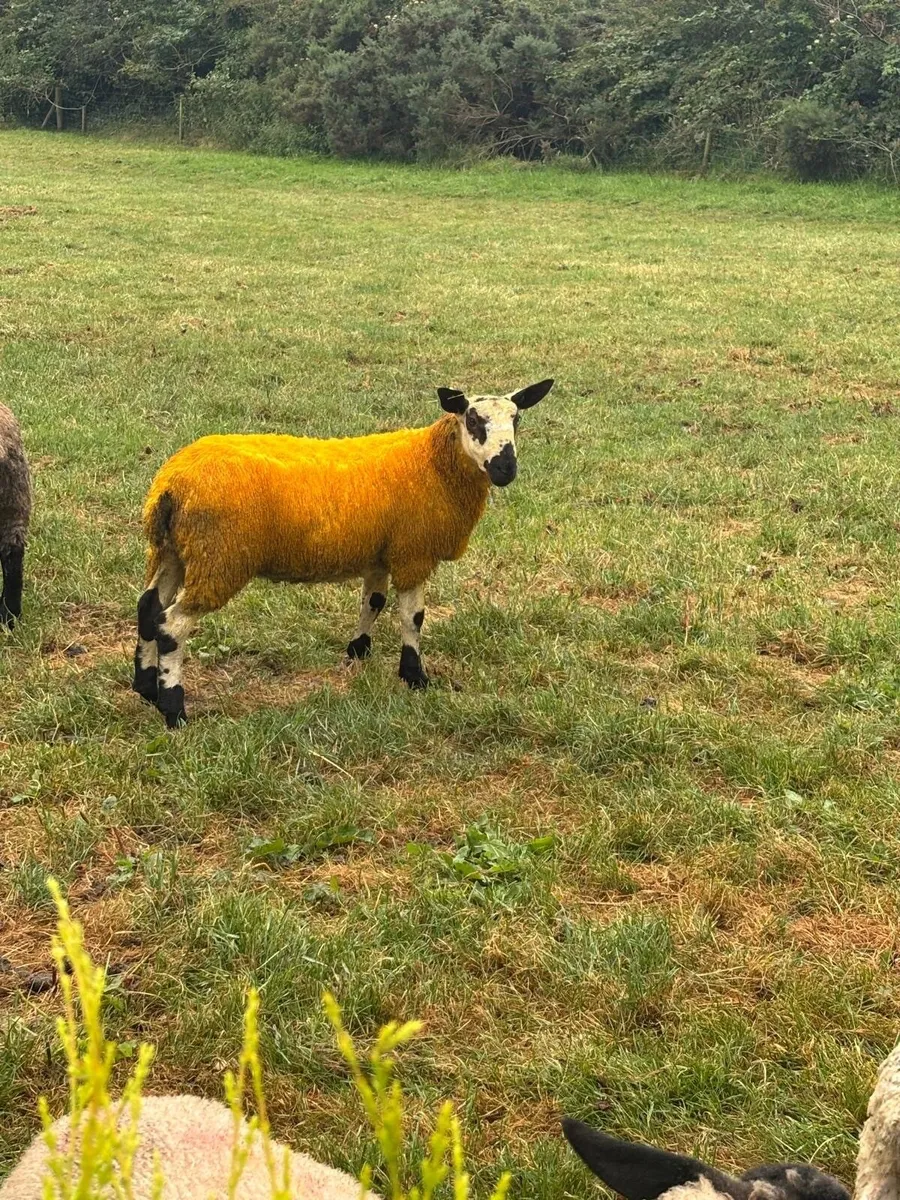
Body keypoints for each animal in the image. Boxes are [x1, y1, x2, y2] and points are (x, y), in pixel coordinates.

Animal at [131, 378, 554, 727]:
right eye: (472, 420)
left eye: (516, 420)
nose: (505, 468)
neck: (432, 463)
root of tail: (173, 484)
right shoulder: (413, 552)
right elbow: (413, 617)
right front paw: (415, 676)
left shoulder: (379, 553)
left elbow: (373, 602)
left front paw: (358, 652)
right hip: (219, 558)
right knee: (172, 624)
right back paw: (174, 709)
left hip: (173, 551)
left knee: (149, 608)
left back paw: (146, 688)